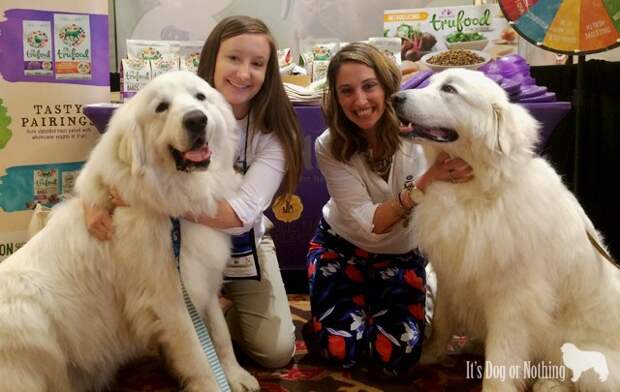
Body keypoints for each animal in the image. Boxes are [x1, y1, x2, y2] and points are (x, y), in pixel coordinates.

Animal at [0, 71, 260, 392]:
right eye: (161, 107)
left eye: (200, 97)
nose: (197, 119)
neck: (173, 207)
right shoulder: (171, 301)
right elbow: (199, 355)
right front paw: (212, 384)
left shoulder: (203, 281)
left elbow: (220, 333)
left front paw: (236, 376)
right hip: (31, 323)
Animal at [392, 68, 620, 392]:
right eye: (430, 83)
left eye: (449, 89)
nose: (395, 97)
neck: (477, 190)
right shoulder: (451, 273)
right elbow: (442, 323)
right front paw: (427, 356)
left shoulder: (513, 298)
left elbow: (503, 353)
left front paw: (494, 386)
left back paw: (549, 384)